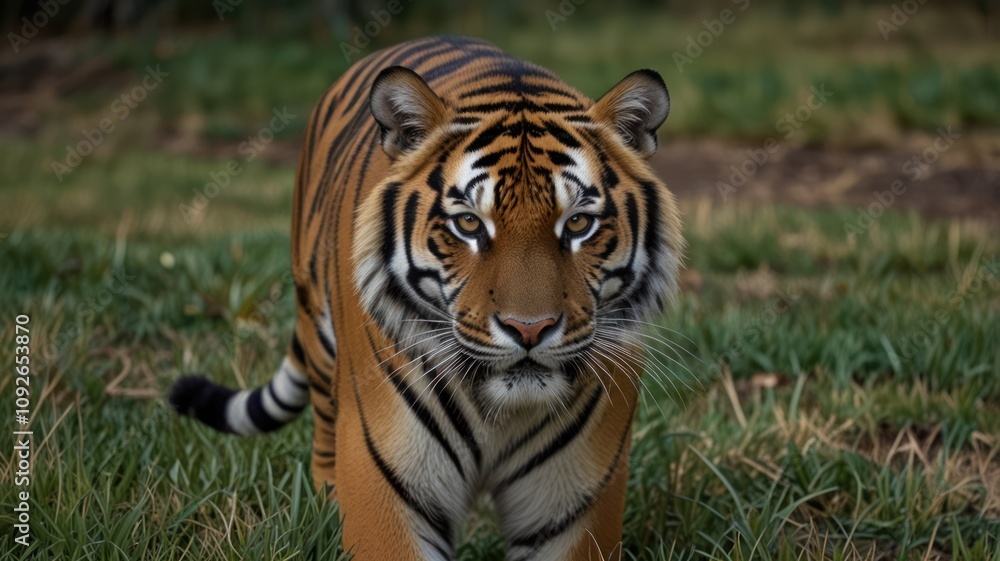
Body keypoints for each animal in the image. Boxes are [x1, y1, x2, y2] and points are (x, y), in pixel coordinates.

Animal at [169, 35, 683, 561]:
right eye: (469, 223)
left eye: (578, 224)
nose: (529, 329)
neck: (499, 411)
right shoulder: (389, 486)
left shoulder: (575, 507)